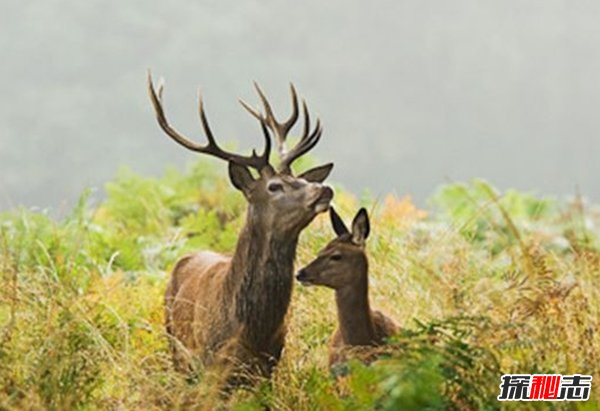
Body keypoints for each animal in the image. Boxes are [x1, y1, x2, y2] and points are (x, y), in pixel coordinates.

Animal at [145, 75, 332, 386]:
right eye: (274, 186)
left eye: (301, 178)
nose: (323, 189)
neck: (250, 329)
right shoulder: (211, 368)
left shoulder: (269, 366)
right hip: (175, 347)